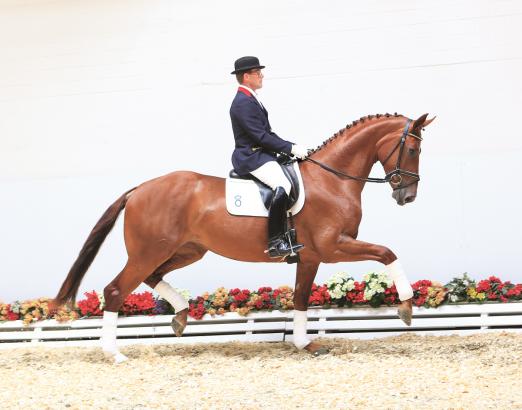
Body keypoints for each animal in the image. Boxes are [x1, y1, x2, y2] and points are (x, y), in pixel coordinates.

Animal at [54, 112, 432, 362]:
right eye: (413, 150)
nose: (408, 196)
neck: (332, 180)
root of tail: (138, 190)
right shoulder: (332, 247)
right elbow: (387, 252)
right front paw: (406, 306)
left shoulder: (310, 256)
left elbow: (300, 298)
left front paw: (304, 344)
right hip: (149, 251)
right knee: (116, 290)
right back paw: (114, 353)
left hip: (187, 250)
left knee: (152, 277)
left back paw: (180, 316)